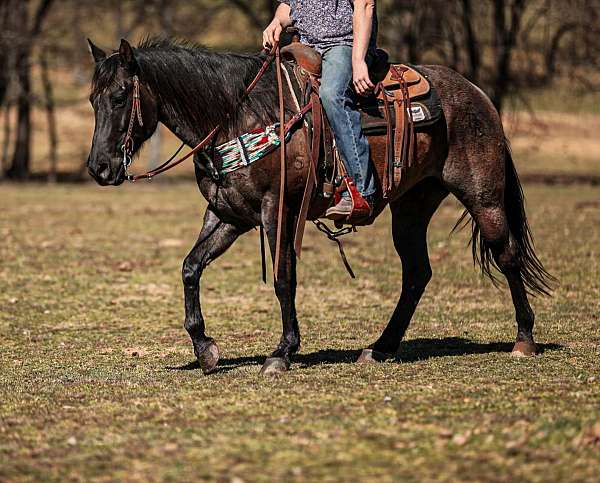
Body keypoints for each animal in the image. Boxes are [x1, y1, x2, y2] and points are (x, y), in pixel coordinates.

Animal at [86, 39, 556, 376]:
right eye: (93, 100)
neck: (241, 118)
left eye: (121, 96)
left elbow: (283, 279)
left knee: (506, 254)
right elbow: (190, 267)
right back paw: (380, 348)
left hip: (484, 197)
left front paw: (282, 352)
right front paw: (205, 349)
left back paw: (524, 340)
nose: (99, 167)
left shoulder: (278, 211)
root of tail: (478, 94)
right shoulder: (227, 216)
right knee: (417, 274)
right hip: (411, 207)